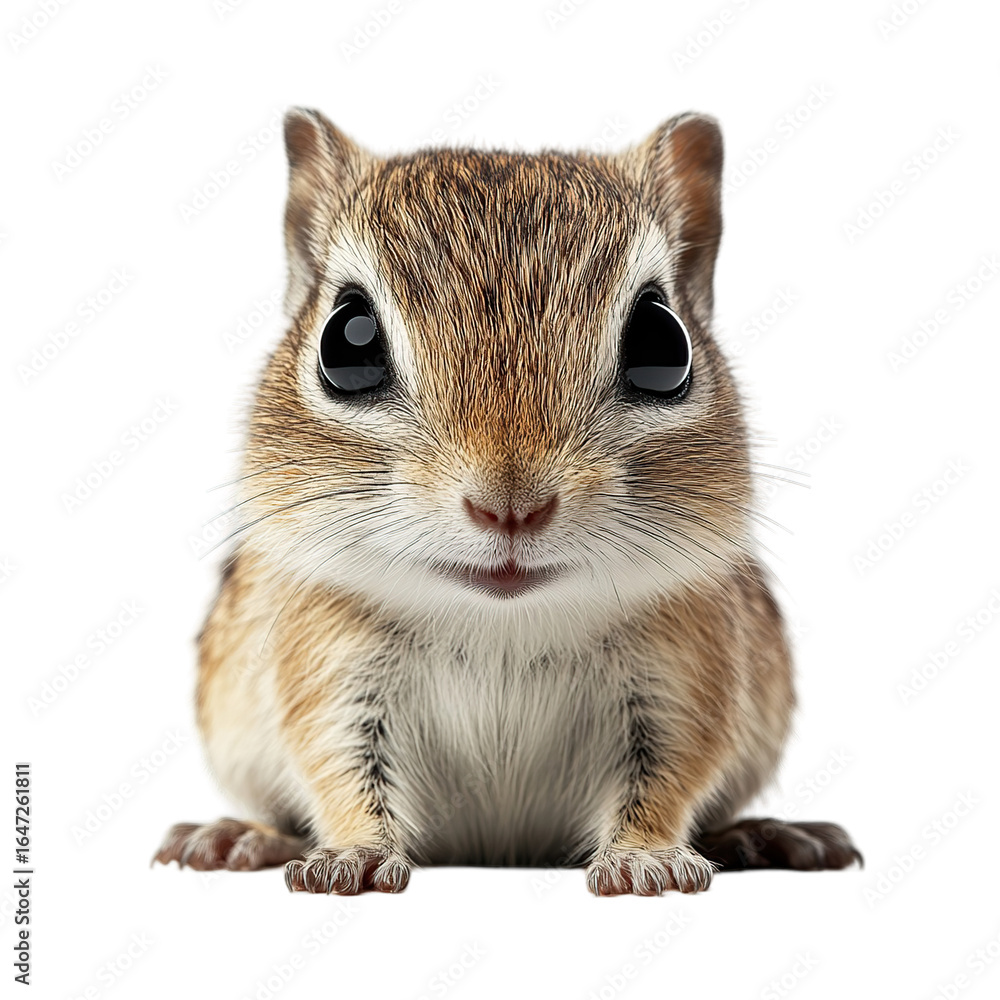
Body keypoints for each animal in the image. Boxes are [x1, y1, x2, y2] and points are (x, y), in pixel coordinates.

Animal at [154, 108, 860, 895]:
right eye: (347, 343)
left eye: (663, 344)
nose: (510, 507)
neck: (502, 629)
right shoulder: (327, 669)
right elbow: (339, 775)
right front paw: (353, 856)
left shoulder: (686, 676)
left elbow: (667, 781)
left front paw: (644, 860)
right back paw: (236, 837)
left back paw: (769, 835)